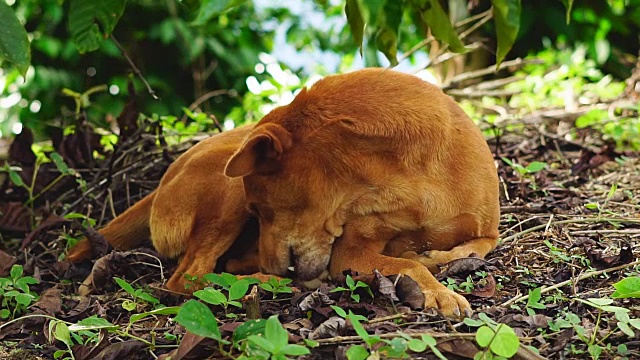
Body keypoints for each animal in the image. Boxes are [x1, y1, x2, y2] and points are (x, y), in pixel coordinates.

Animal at [225, 68, 500, 318]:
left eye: (259, 209)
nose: (270, 268)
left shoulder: (489, 232)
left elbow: (473, 249)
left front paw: (436, 258)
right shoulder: (350, 252)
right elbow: (409, 265)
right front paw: (440, 291)